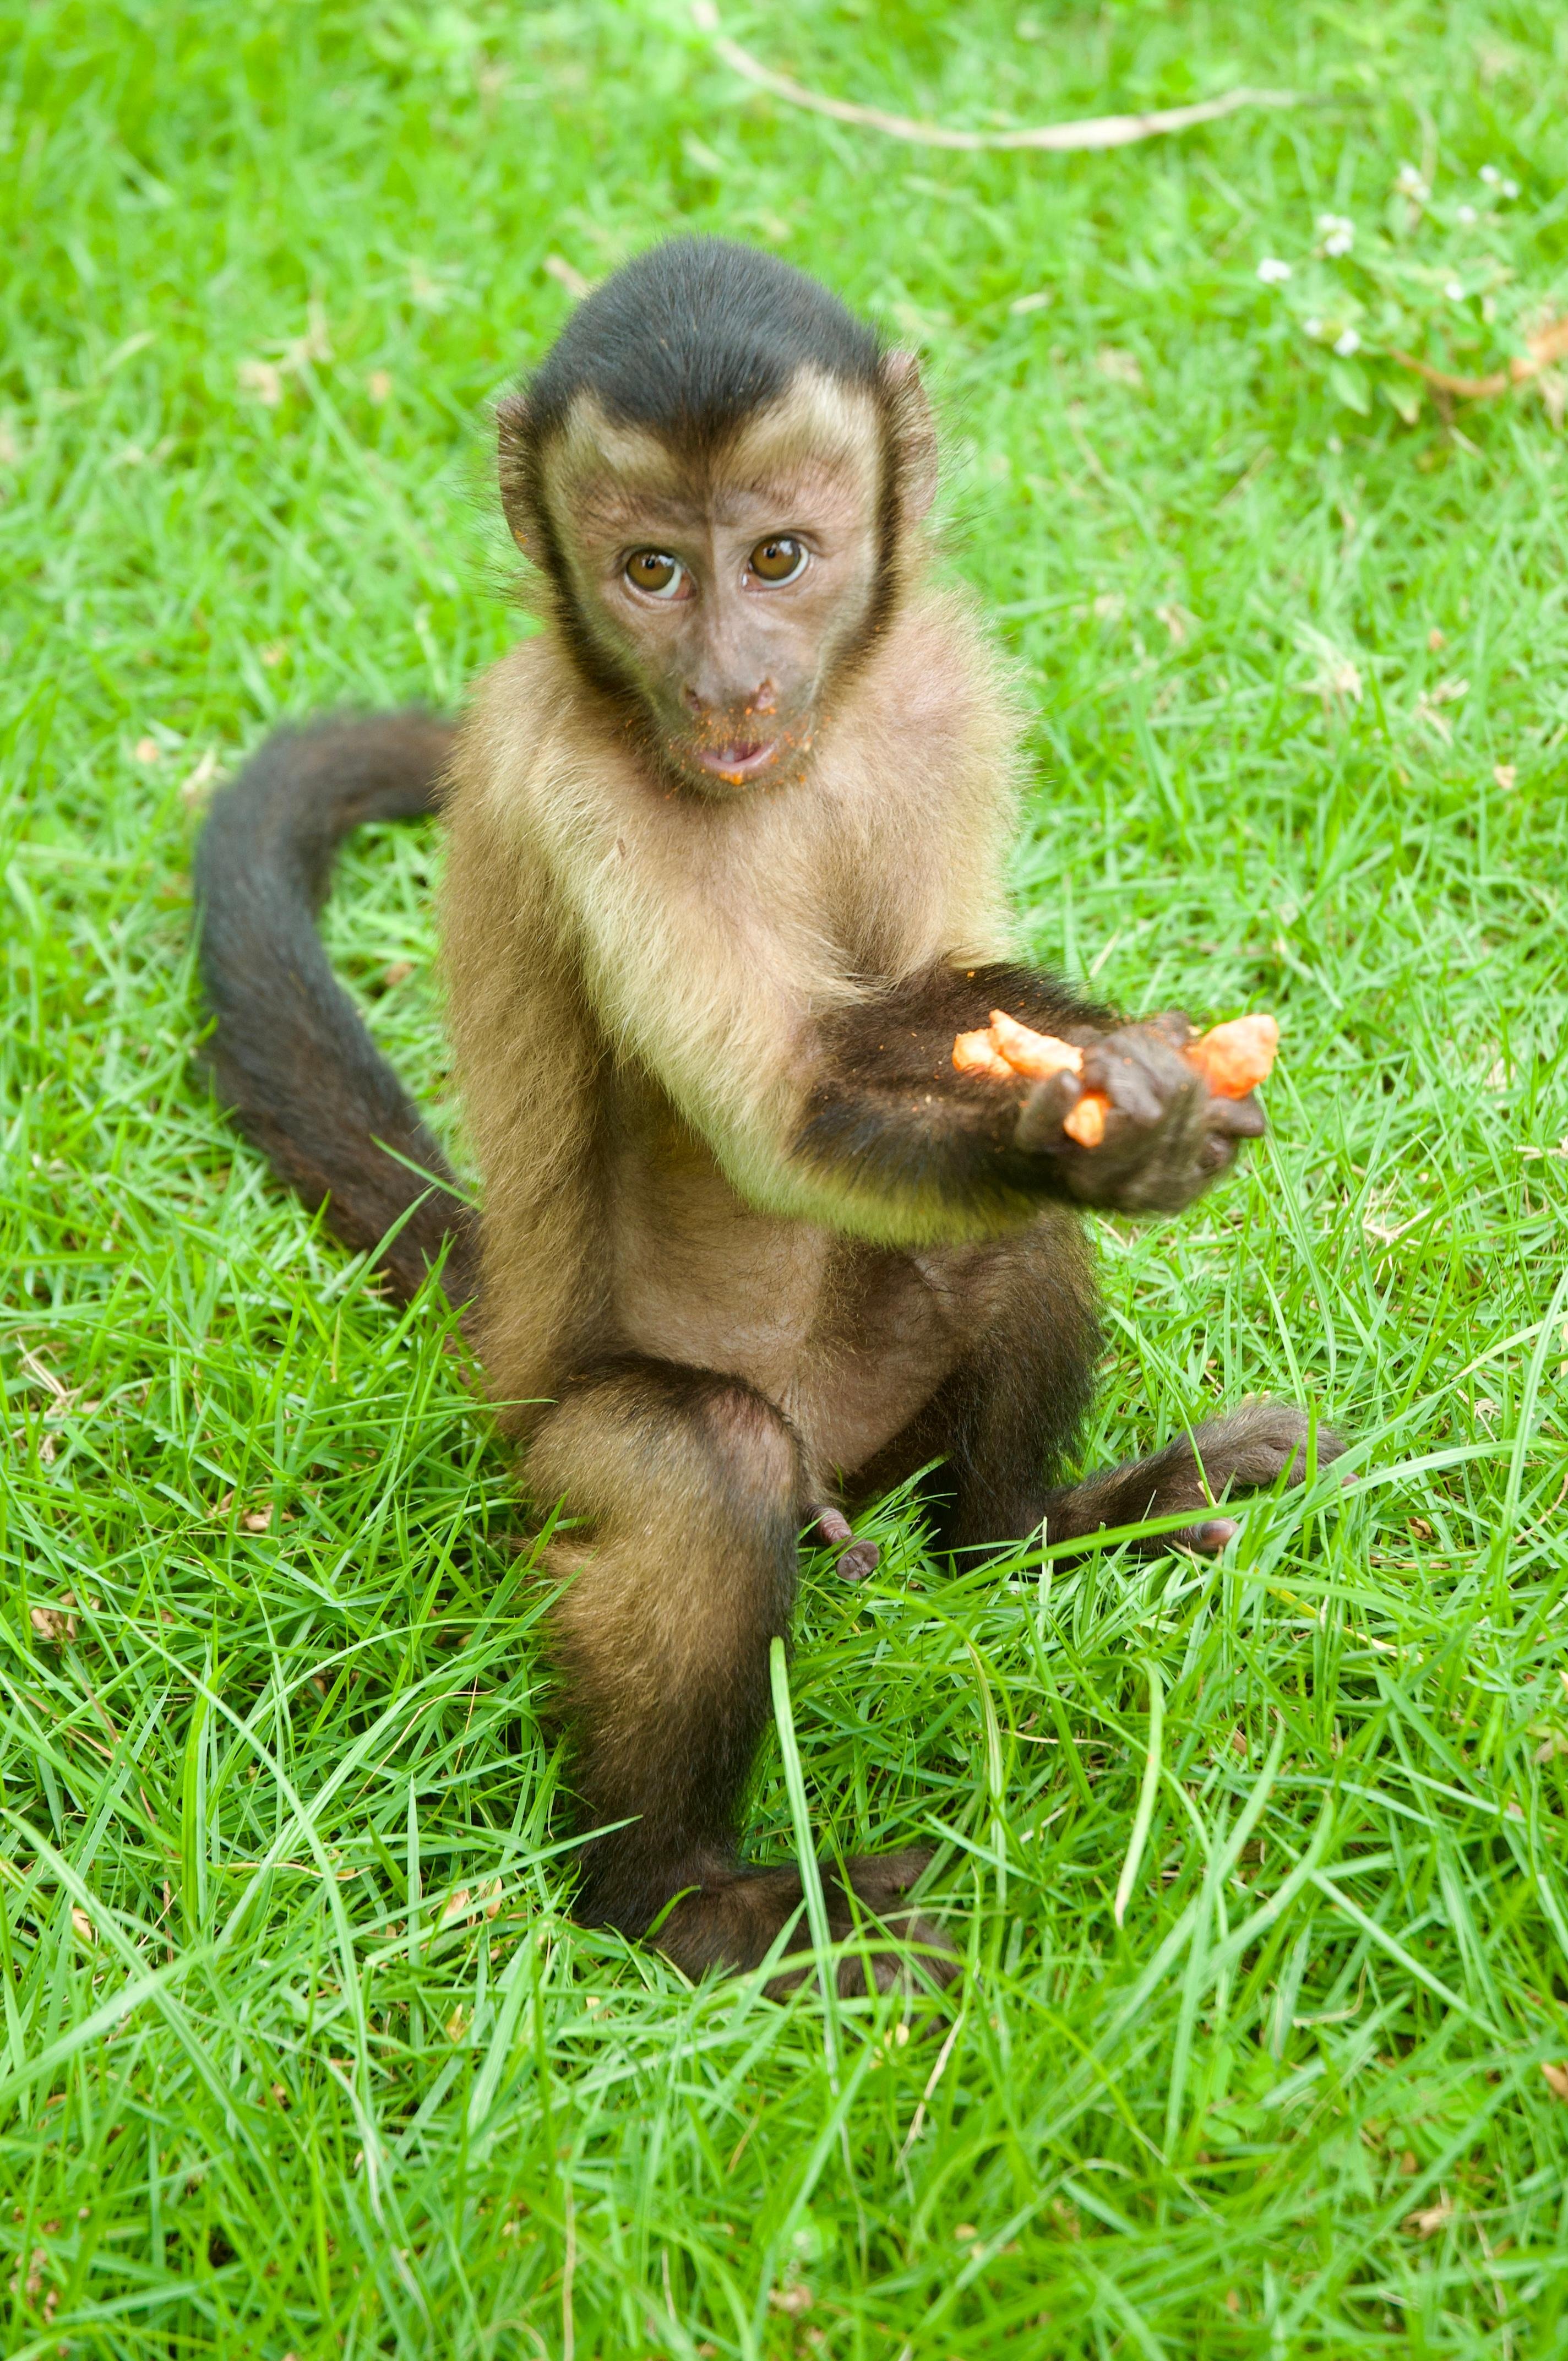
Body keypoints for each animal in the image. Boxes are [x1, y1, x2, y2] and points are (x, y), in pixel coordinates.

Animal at [195, 237, 1343, 1995]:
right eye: (652, 571)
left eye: (782, 558)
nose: (727, 677)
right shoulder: (579, 785)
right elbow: (782, 1105)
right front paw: (1069, 1127)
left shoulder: (936, 687)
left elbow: (937, 989)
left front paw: (1112, 1070)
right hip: (556, 1451)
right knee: (712, 1468)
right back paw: (689, 1902)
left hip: (880, 1424)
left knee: (996, 1268)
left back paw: (1043, 1534)